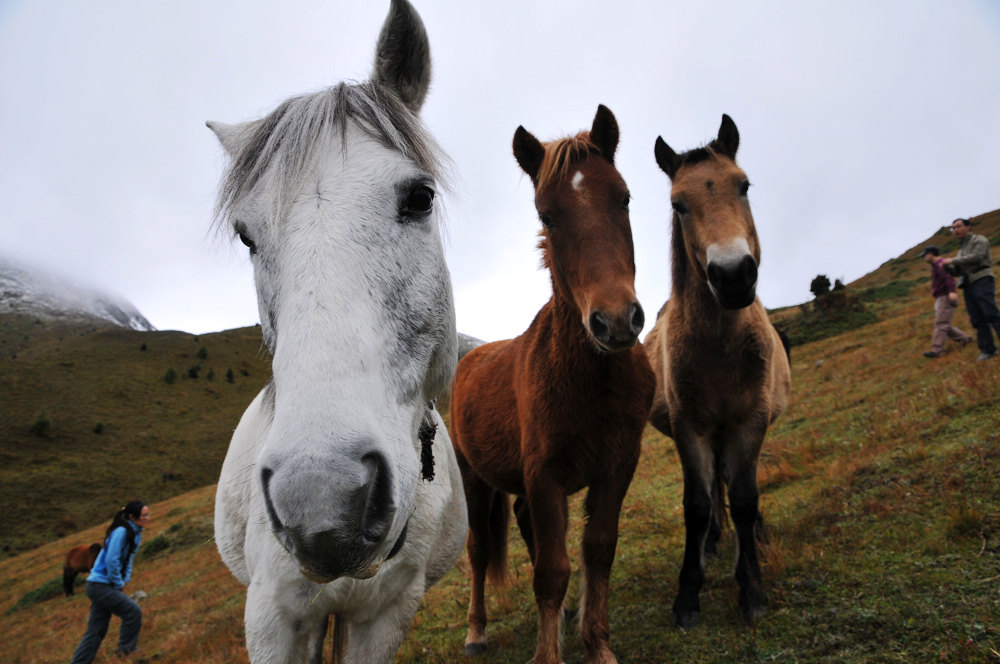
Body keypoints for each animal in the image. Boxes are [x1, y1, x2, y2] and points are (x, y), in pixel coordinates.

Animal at [448, 105, 652, 664]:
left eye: (624, 197)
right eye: (546, 215)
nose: (616, 320)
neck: (592, 379)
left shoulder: (617, 466)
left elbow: (597, 550)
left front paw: (597, 644)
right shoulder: (545, 475)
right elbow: (551, 571)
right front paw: (549, 653)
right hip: (474, 480)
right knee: (478, 550)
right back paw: (476, 631)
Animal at [644, 116, 792, 632]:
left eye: (743, 185)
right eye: (678, 204)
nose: (732, 276)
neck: (721, 349)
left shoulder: (750, 420)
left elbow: (745, 497)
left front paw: (751, 589)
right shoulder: (691, 427)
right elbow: (697, 503)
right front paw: (689, 593)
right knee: (712, 490)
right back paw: (711, 544)